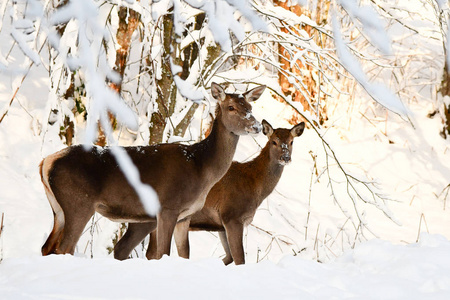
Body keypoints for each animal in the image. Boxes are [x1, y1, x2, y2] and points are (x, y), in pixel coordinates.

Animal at [40, 82, 266, 260]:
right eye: (231, 107)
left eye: (250, 106)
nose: (257, 126)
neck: (201, 168)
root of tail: (45, 162)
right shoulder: (168, 207)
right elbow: (164, 253)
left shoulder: (184, 216)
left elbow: (183, 254)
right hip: (79, 203)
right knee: (64, 247)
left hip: (58, 209)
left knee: (46, 247)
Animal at [125, 118, 304, 264]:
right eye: (274, 141)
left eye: (291, 142)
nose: (286, 158)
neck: (254, 186)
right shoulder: (232, 215)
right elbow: (240, 259)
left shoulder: (220, 224)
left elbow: (229, 257)